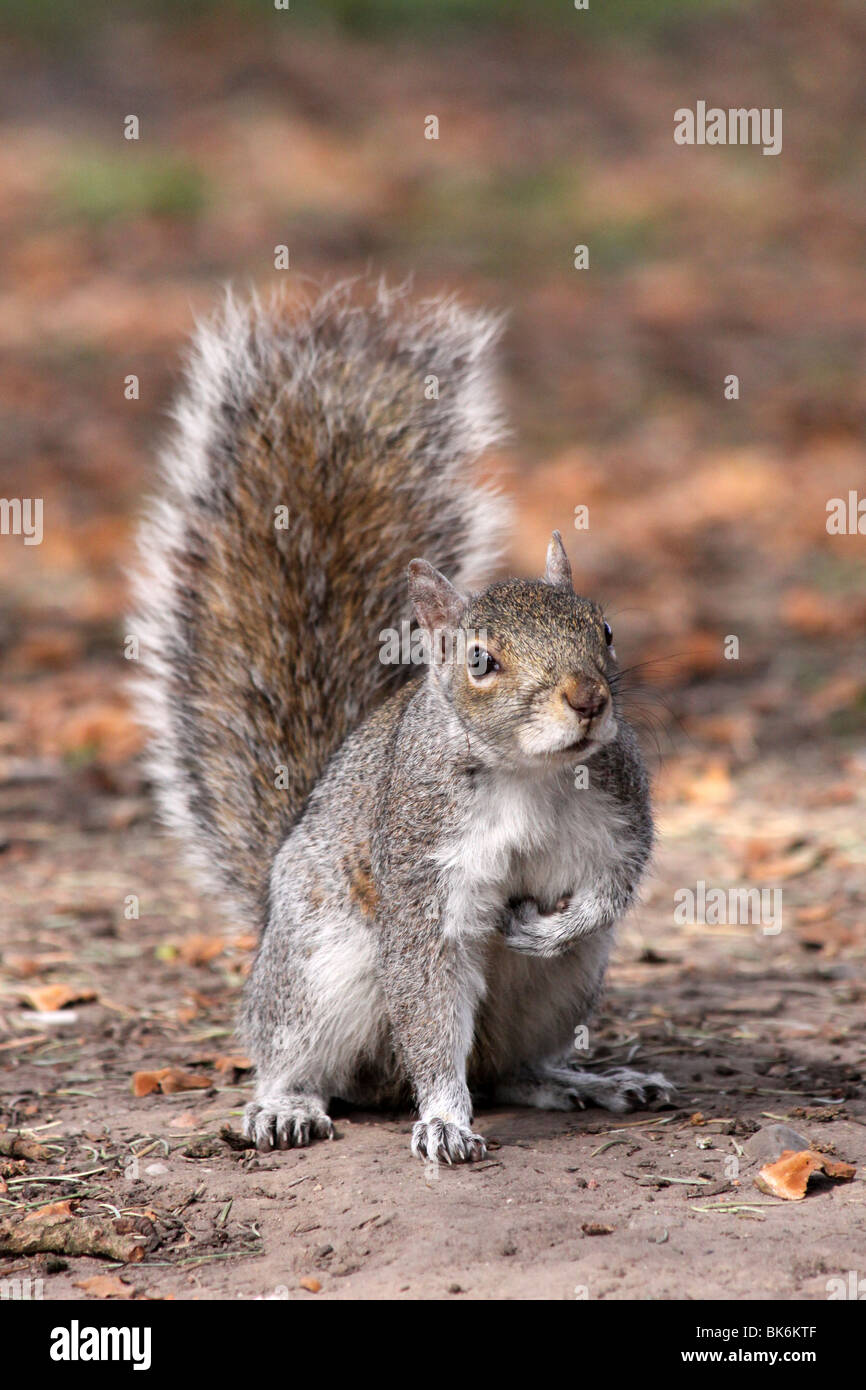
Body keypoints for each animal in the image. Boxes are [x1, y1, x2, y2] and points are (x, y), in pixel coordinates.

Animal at [132, 282, 670, 1162]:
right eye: (481, 661)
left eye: (606, 628)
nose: (589, 699)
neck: (529, 774)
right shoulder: (422, 880)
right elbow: (427, 1004)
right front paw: (445, 1119)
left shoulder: (619, 815)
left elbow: (611, 888)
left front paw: (548, 927)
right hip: (317, 974)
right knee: (301, 1054)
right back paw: (286, 1105)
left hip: (564, 990)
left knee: (510, 1069)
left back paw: (584, 1081)